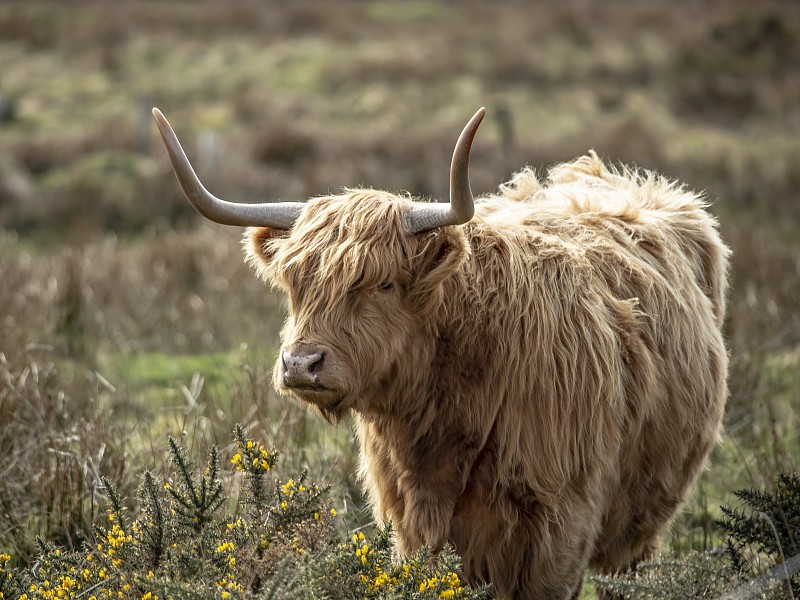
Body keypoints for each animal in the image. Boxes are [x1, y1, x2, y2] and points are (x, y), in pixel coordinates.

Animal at [152, 105, 732, 596]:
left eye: (384, 283)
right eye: (295, 284)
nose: (301, 364)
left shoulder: (560, 528)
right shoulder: (414, 524)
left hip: (638, 524)